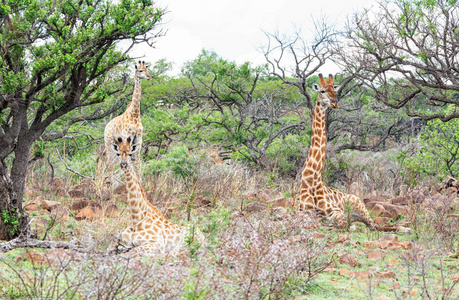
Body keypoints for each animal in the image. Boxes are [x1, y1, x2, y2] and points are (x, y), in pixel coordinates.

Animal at [300, 74, 412, 233]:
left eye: (334, 89)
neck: (311, 179)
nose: (335, 103)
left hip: (360, 207)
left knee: (376, 227)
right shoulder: (304, 212)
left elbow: (341, 225)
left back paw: (406, 229)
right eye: (322, 91)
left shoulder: (336, 213)